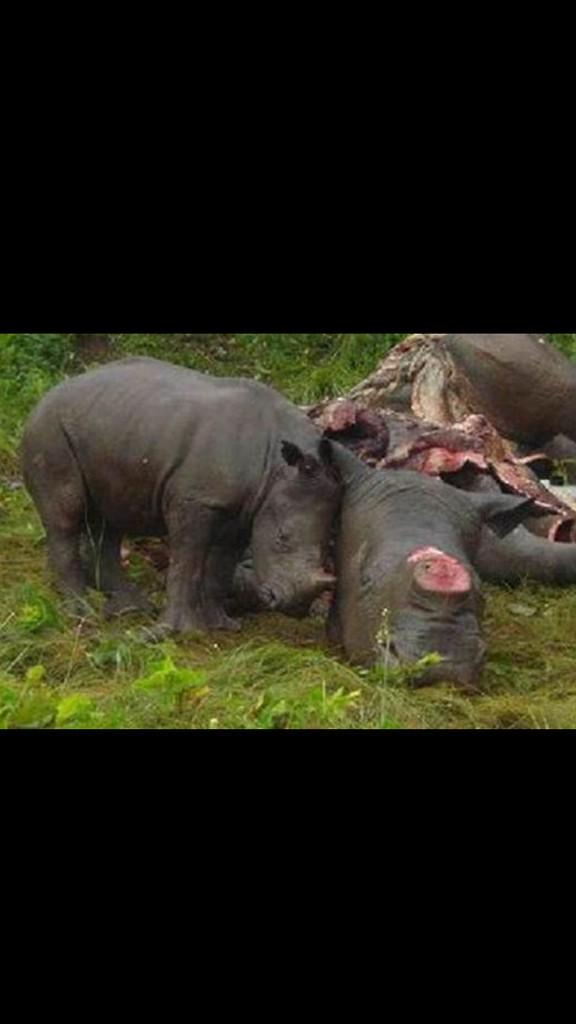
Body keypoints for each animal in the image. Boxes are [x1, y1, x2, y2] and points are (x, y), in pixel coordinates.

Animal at [21, 357, 341, 634]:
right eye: (282, 538)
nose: (295, 608)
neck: (275, 466)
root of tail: (47, 395)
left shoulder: (244, 509)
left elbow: (220, 567)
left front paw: (222, 626)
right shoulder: (197, 501)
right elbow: (187, 560)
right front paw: (180, 631)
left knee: (111, 519)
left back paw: (131, 608)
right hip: (49, 430)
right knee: (66, 514)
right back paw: (81, 612)